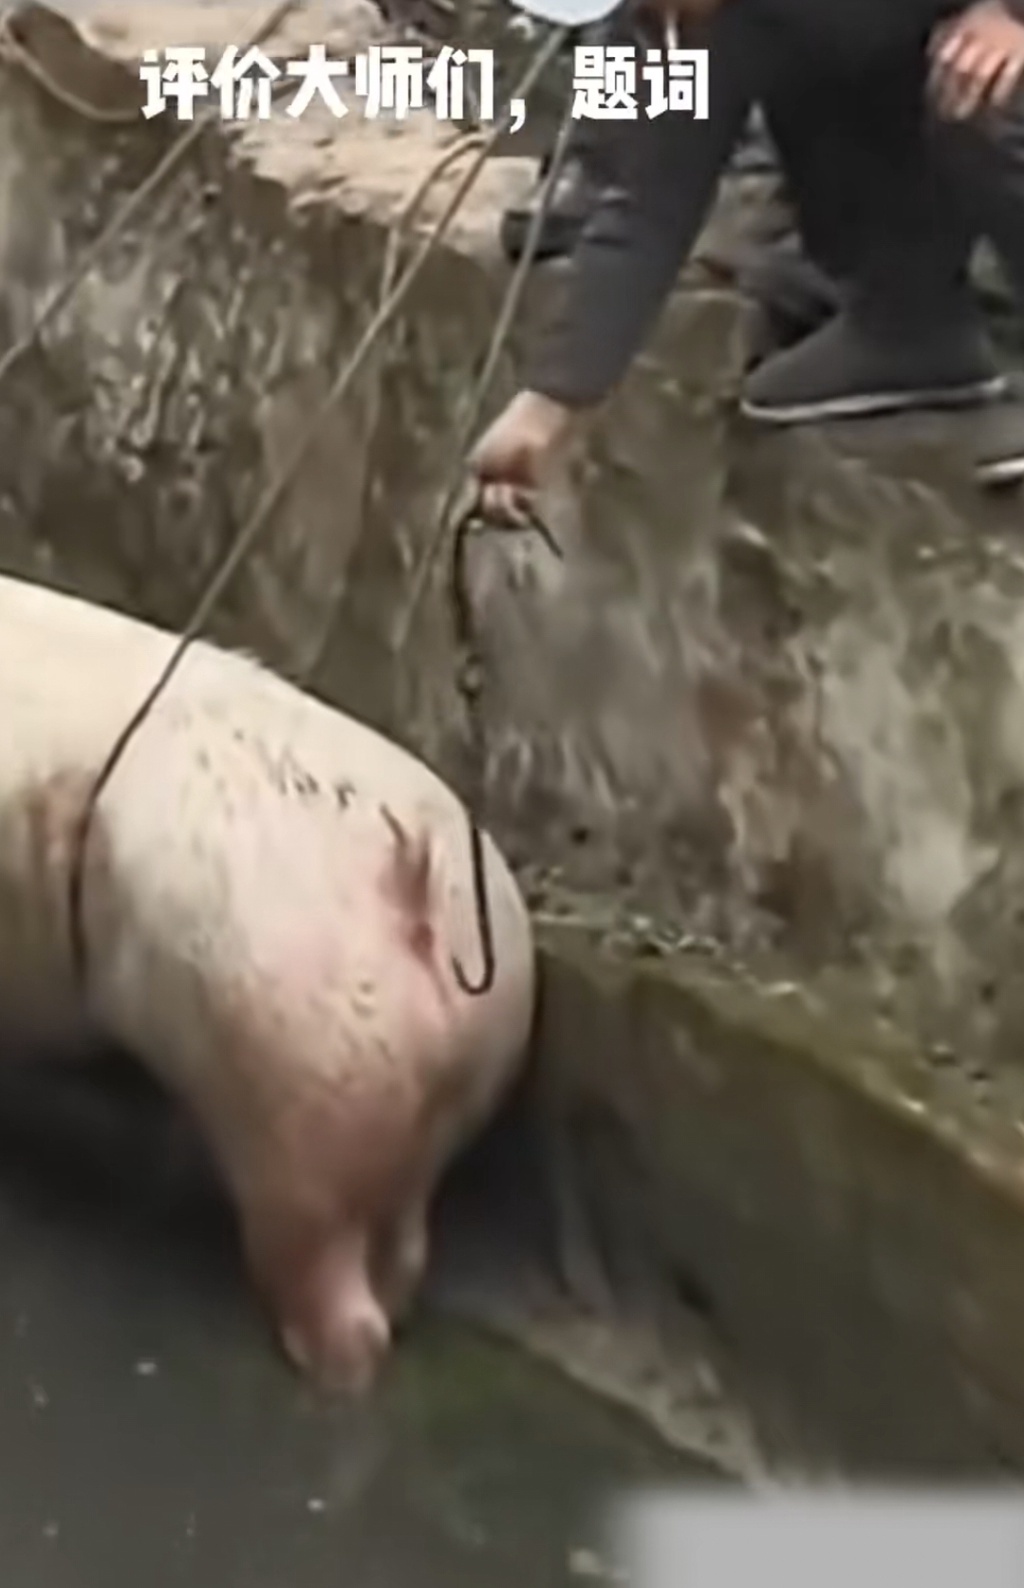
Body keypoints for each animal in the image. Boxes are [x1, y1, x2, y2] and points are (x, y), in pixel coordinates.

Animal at [0, 572, 535, 1393]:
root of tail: (423, 865)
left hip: (288, 1059)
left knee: (312, 1242)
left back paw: (326, 1361)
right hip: (455, 1073)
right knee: (403, 1232)